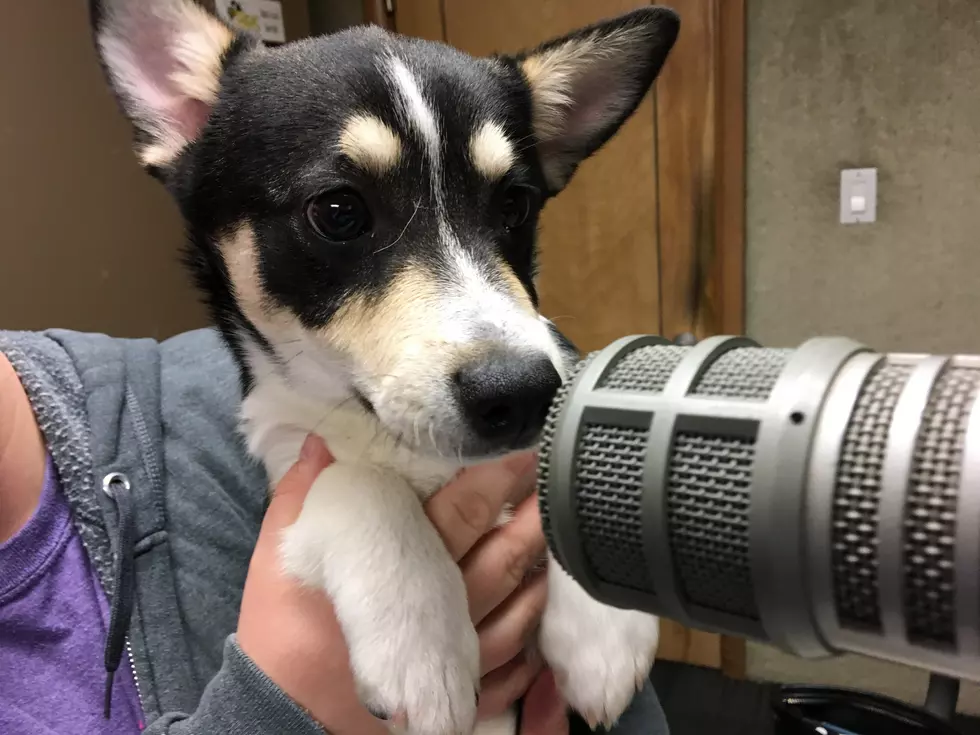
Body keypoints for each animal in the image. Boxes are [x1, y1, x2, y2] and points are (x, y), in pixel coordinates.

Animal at [92, 2, 680, 732]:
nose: (522, 393)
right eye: (339, 211)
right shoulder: (289, 477)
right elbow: (357, 483)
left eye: (514, 206)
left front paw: (605, 628)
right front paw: (421, 644)